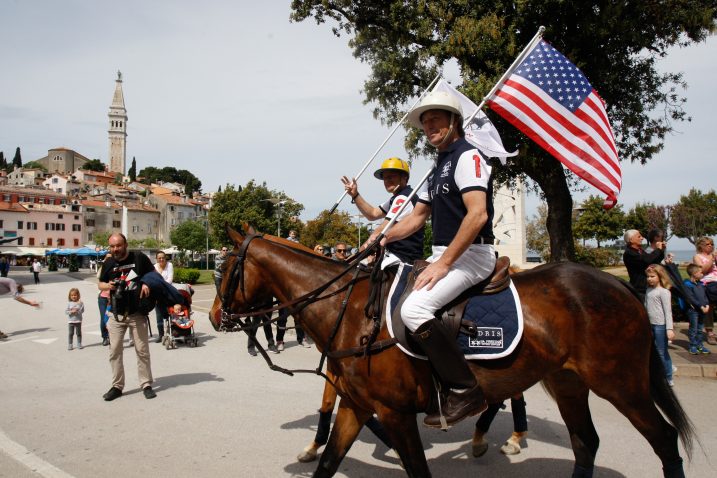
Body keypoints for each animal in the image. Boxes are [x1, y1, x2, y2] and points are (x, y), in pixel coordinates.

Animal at [208, 227, 692, 478]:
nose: (213, 316)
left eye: (227, 267)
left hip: (621, 383)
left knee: (665, 440)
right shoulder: (357, 405)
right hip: (567, 382)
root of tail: (619, 286)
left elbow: (417, 471)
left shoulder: (395, 412)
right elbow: (328, 461)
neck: (348, 310)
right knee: (585, 442)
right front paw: (315, 449)